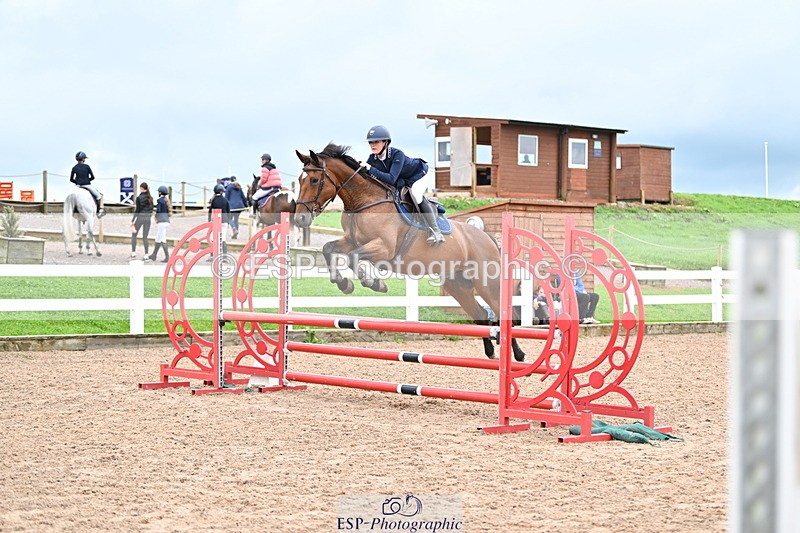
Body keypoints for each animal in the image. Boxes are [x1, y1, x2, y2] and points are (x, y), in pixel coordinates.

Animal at [293, 143, 525, 361]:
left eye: (314, 180)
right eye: (299, 179)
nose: (300, 219)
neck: (364, 201)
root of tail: (487, 237)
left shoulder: (384, 248)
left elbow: (353, 257)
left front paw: (374, 283)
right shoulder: (350, 241)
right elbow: (329, 249)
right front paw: (344, 283)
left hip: (486, 282)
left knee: (504, 315)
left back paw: (519, 355)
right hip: (457, 285)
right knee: (481, 315)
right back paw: (491, 353)